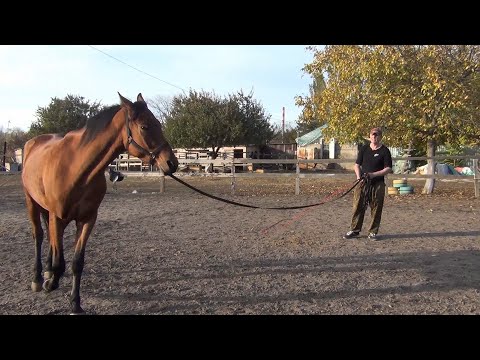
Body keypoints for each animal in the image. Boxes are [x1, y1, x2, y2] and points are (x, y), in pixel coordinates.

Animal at [21, 93, 178, 316]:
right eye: (145, 126)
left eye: (158, 124)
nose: (172, 163)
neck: (76, 168)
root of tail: (34, 142)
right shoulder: (57, 216)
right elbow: (60, 258)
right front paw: (50, 283)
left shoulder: (87, 219)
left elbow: (77, 262)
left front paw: (75, 303)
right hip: (32, 202)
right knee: (39, 236)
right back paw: (38, 277)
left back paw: (48, 271)